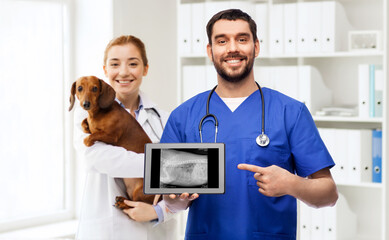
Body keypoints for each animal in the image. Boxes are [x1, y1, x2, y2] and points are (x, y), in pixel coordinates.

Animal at [68, 76, 158, 209]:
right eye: (79, 88)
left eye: (95, 88)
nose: (86, 104)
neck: (98, 114)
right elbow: (84, 123)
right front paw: (87, 126)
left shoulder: (112, 136)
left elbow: (94, 135)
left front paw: (89, 139)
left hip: (139, 192)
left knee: (135, 204)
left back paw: (122, 203)